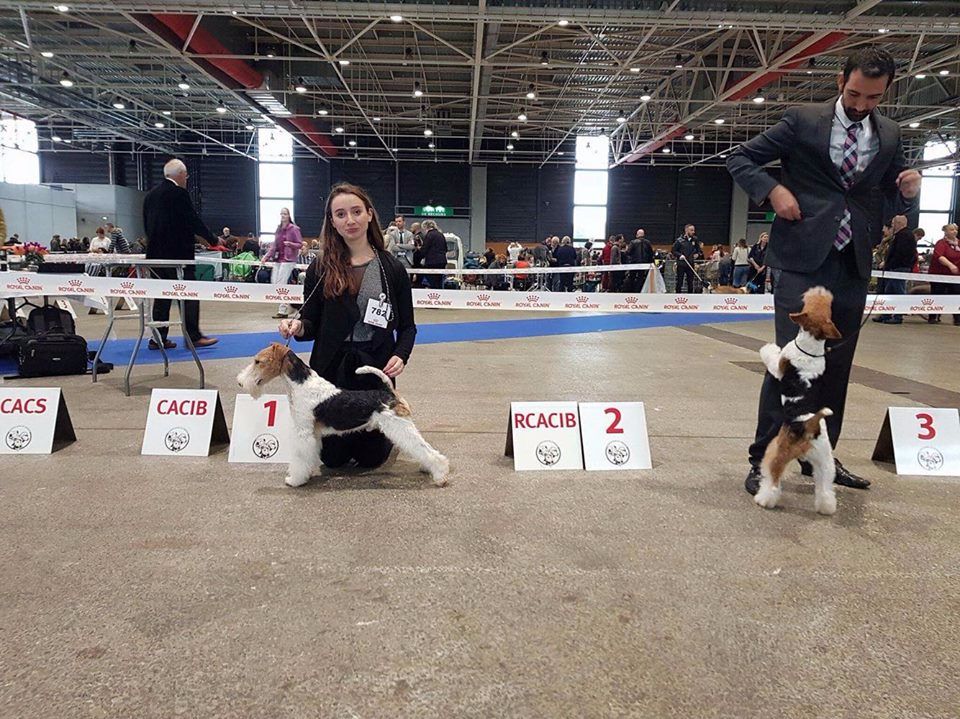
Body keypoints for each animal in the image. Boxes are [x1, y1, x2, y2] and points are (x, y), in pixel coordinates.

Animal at [237, 343, 450, 488]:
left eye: (258, 361)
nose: (240, 383)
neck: (301, 384)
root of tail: (389, 392)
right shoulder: (312, 434)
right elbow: (308, 456)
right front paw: (306, 474)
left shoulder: (303, 433)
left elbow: (299, 458)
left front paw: (294, 479)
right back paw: (429, 469)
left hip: (400, 427)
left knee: (426, 450)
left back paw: (440, 475)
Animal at [755, 287, 841, 515]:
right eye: (825, 306)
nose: (820, 290)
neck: (811, 346)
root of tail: (810, 425)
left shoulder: (779, 367)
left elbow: (773, 356)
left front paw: (768, 347)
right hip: (824, 461)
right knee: (825, 488)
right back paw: (826, 507)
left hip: (778, 451)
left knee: (773, 479)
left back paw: (764, 499)